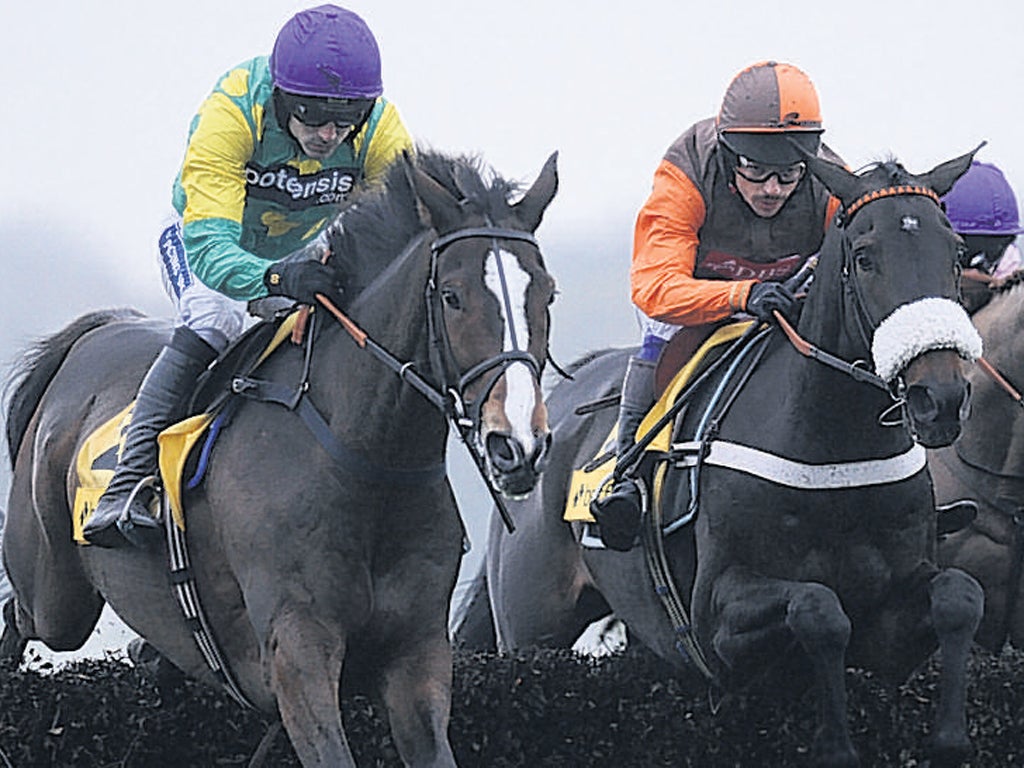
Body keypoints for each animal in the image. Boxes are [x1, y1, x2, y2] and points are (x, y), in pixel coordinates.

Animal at [0, 147, 561, 765]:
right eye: (452, 295)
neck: (367, 462)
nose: (518, 443)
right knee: (19, 612)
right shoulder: (299, 652)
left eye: (548, 294)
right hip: (53, 596)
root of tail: (94, 333)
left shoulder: (417, 654)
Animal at [456, 150, 983, 768]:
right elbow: (820, 610)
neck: (833, 451)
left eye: (955, 252)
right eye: (865, 257)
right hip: (531, 630)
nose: (938, 397)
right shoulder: (717, 620)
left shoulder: (893, 618)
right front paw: (835, 743)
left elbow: (959, 597)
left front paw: (949, 737)